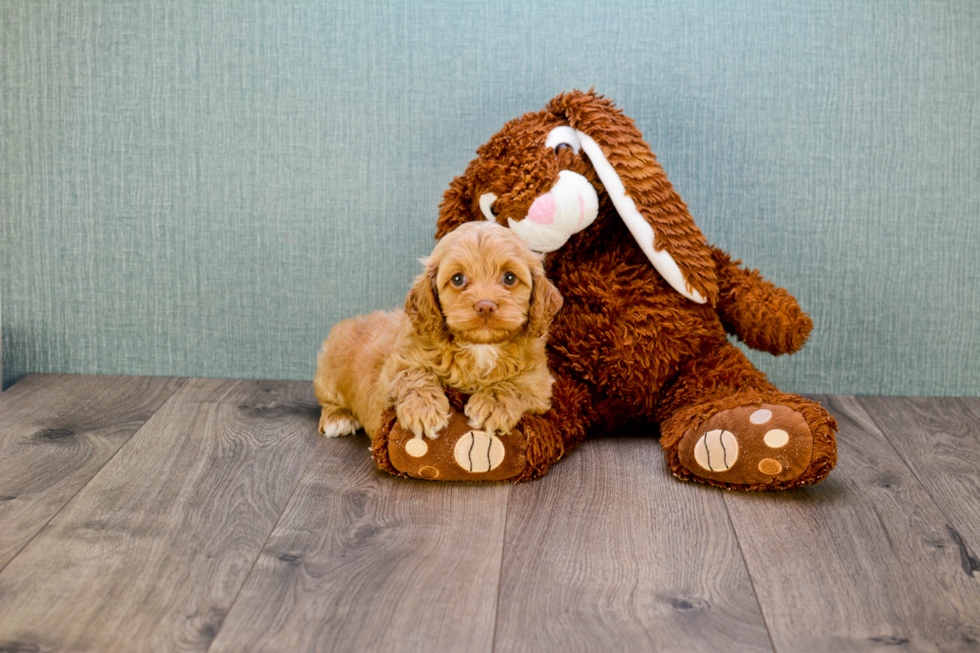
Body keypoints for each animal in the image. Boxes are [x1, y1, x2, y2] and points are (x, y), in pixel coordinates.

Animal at [314, 220, 560, 444]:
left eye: (509, 277)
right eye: (458, 279)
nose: (485, 306)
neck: (479, 347)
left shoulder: (540, 387)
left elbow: (514, 386)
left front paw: (493, 403)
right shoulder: (391, 373)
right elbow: (413, 374)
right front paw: (423, 408)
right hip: (328, 372)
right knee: (328, 400)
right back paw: (337, 418)